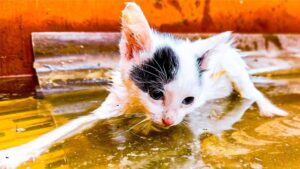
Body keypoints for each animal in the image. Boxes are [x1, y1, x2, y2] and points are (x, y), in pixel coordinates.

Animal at [0, 2, 288, 169]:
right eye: (156, 94)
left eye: (189, 101)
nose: (169, 120)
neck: (138, 107)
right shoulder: (117, 102)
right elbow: (77, 123)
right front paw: (17, 153)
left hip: (233, 64)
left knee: (249, 91)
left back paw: (267, 106)